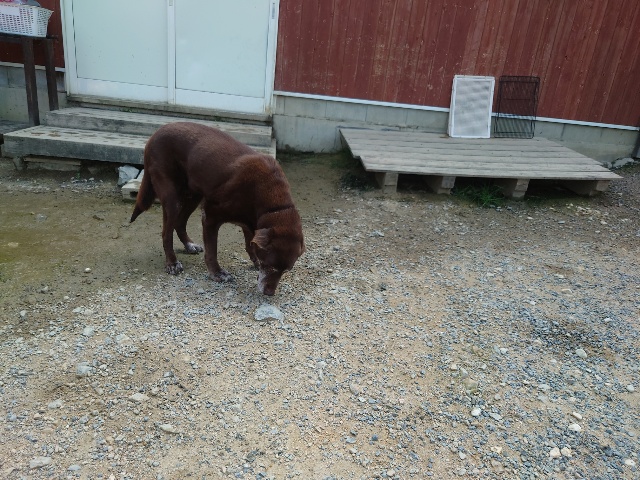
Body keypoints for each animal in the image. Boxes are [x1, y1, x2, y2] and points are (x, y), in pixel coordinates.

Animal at [130, 122, 304, 296]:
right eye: (271, 266)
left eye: (286, 270)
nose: (269, 293)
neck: (275, 205)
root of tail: (155, 135)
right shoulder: (211, 215)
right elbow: (212, 251)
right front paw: (218, 273)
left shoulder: (251, 223)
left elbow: (250, 244)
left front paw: (254, 261)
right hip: (173, 198)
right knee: (166, 233)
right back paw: (172, 263)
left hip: (194, 196)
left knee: (180, 223)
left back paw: (189, 245)